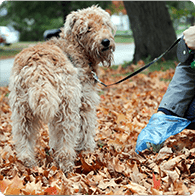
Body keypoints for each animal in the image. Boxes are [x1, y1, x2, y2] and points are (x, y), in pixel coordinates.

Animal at [8, 5, 116, 172]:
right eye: (88, 28)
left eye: (104, 24)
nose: (105, 42)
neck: (77, 47)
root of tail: (37, 66)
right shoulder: (85, 104)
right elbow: (86, 130)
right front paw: (87, 151)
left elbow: (54, 134)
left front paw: (54, 150)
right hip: (68, 107)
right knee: (67, 137)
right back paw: (67, 165)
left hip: (22, 110)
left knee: (23, 138)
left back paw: (28, 163)